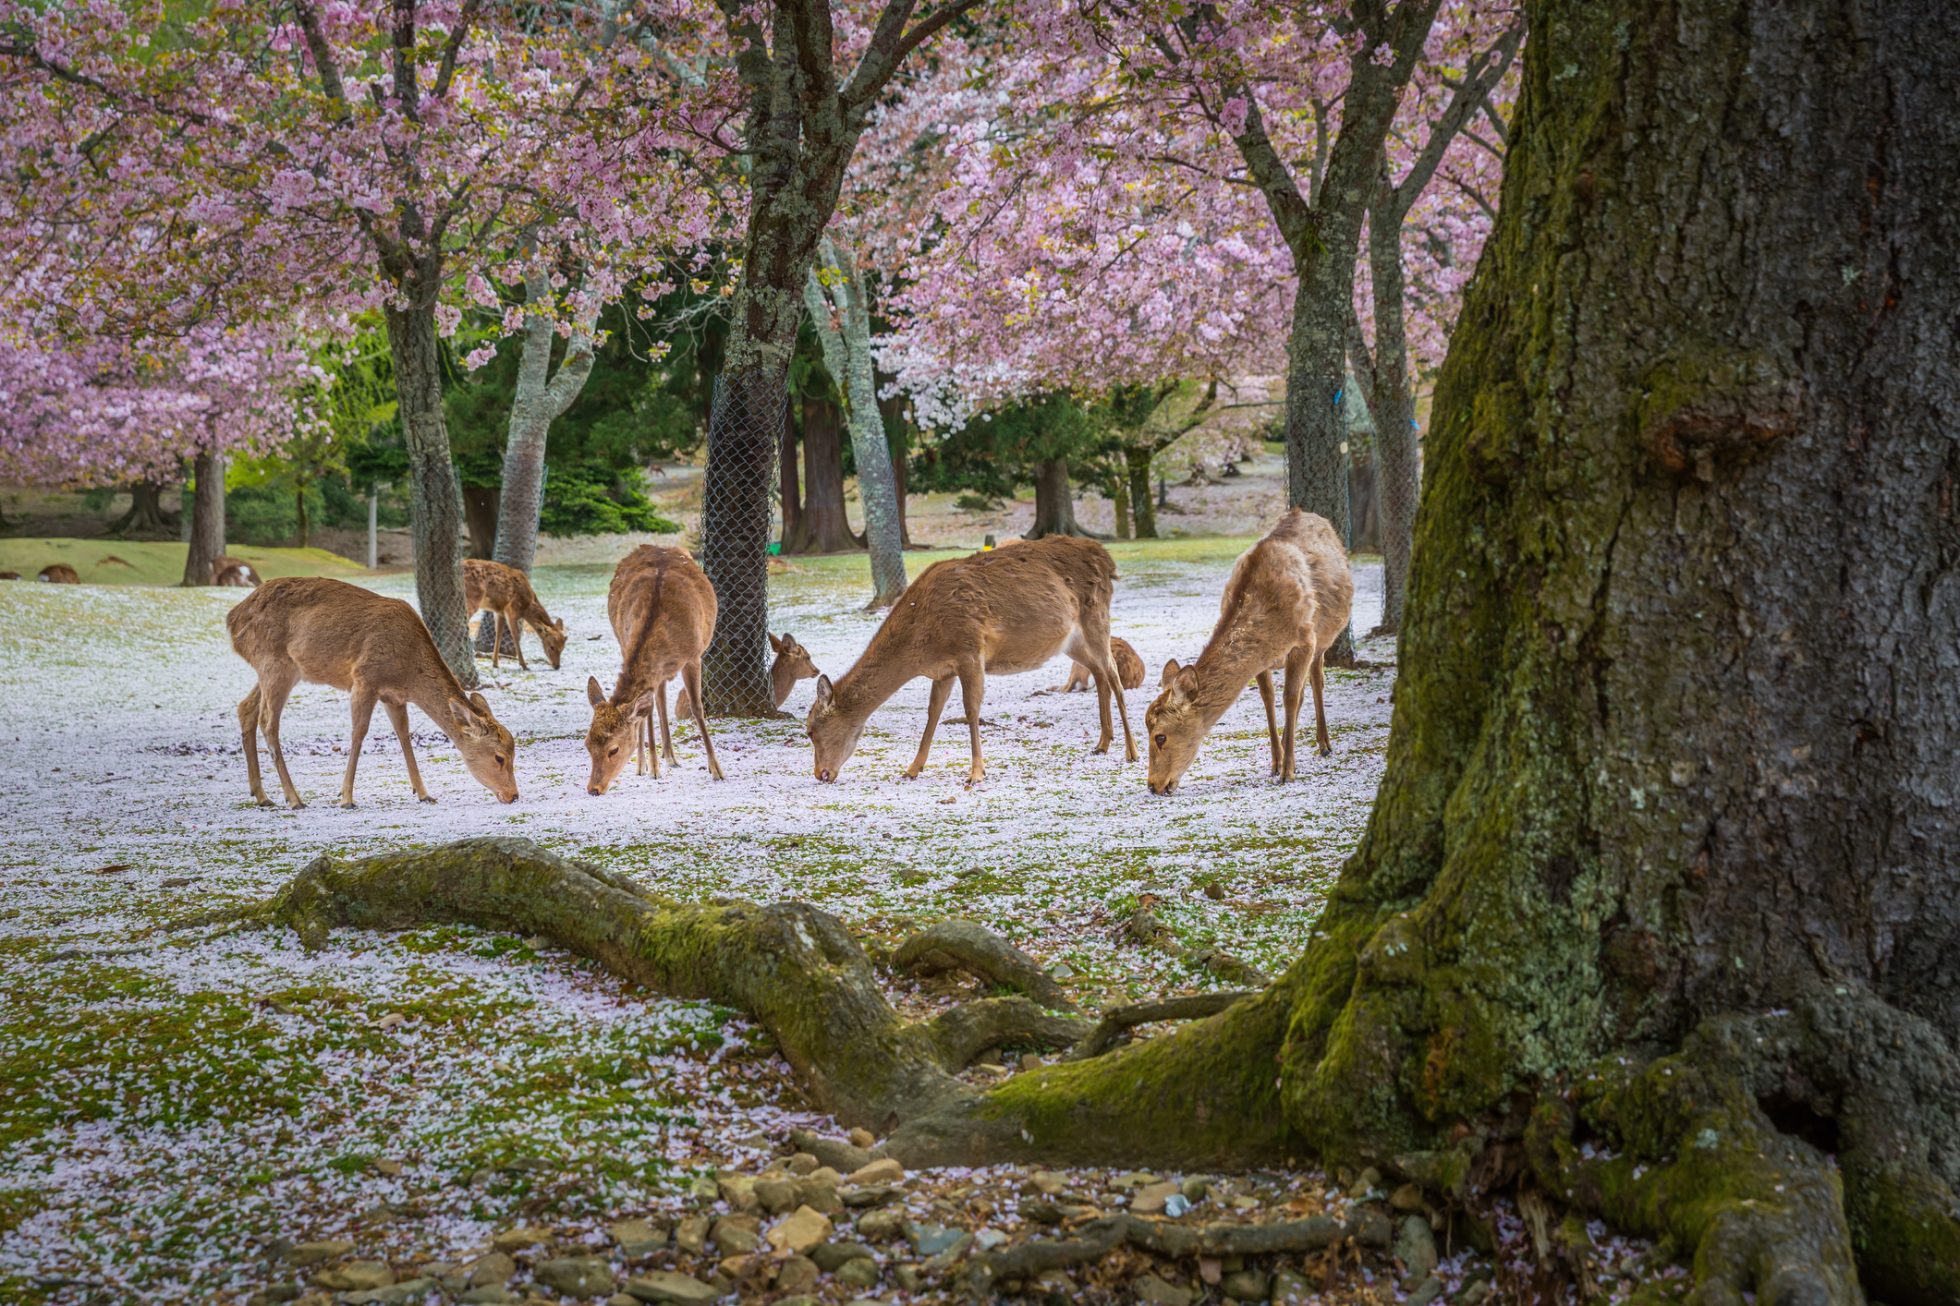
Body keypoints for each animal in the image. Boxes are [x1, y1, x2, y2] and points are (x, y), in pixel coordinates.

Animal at [227, 572, 521, 803]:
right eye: (499, 757)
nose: (513, 795)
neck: (409, 671)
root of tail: (232, 619)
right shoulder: (364, 679)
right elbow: (359, 732)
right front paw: (346, 797)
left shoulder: (393, 696)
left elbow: (403, 734)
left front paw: (424, 793)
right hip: (274, 662)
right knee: (268, 721)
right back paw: (293, 798)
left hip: (279, 669)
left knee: (246, 708)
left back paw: (262, 795)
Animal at [591, 541, 733, 792]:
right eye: (587, 745)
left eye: (613, 749)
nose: (593, 789)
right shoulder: (626, 646)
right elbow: (645, 712)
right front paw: (650, 767)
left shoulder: (694, 656)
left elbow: (697, 708)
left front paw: (716, 770)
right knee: (656, 700)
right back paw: (652, 761)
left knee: (660, 697)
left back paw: (670, 756)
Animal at [799, 533, 1136, 784]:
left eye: (811, 730)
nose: (820, 773)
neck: (921, 643)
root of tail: (1107, 559)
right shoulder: (943, 670)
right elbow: (933, 714)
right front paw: (912, 769)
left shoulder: (970, 649)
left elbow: (971, 711)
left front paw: (976, 773)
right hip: (1070, 641)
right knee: (1099, 674)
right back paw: (1102, 743)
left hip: (1097, 619)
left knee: (1115, 678)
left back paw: (1131, 752)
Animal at [1144, 509, 1356, 792]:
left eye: (1160, 737)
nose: (1153, 785)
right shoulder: (1262, 660)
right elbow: (1268, 699)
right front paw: (1276, 762)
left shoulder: (1304, 640)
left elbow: (1290, 698)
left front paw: (1288, 771)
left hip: (1322, 638)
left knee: (1315, 680)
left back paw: (1324, 744)